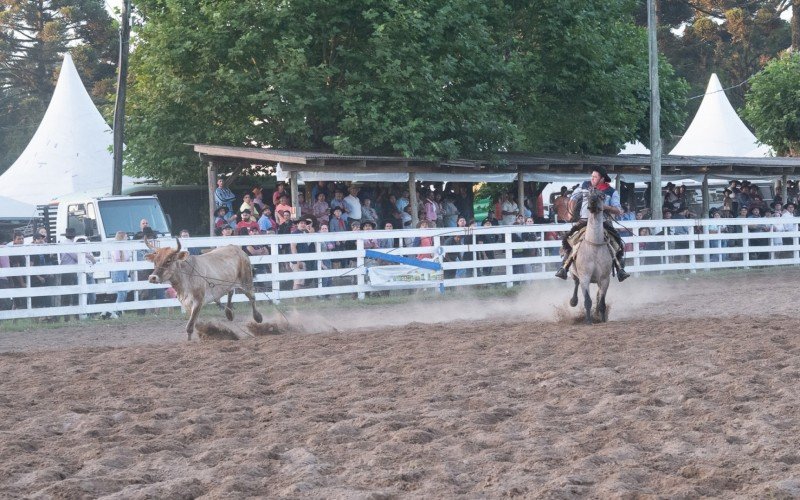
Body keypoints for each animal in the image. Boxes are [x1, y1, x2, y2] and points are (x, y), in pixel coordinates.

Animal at [568, 188, 612, 324]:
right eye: (588, 195)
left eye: (602, 196)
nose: (592, 202)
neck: (594, 247)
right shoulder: (585, 277)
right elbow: (587, 300)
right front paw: (588, 321)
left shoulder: (605, 279)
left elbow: (602, 302)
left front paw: (602, 319)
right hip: (574, 273)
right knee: (576, 282)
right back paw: (573, 301)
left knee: (598, 295)